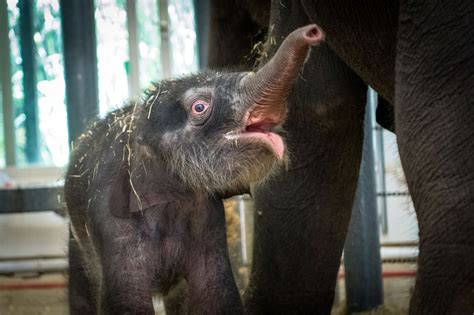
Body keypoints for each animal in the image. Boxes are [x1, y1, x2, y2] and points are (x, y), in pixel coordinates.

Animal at [65, 24, 322, 314]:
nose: (313, 31)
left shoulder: (209, 222)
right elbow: (127, 303)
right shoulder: (113, 227)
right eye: (200, 107)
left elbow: (215, 294)